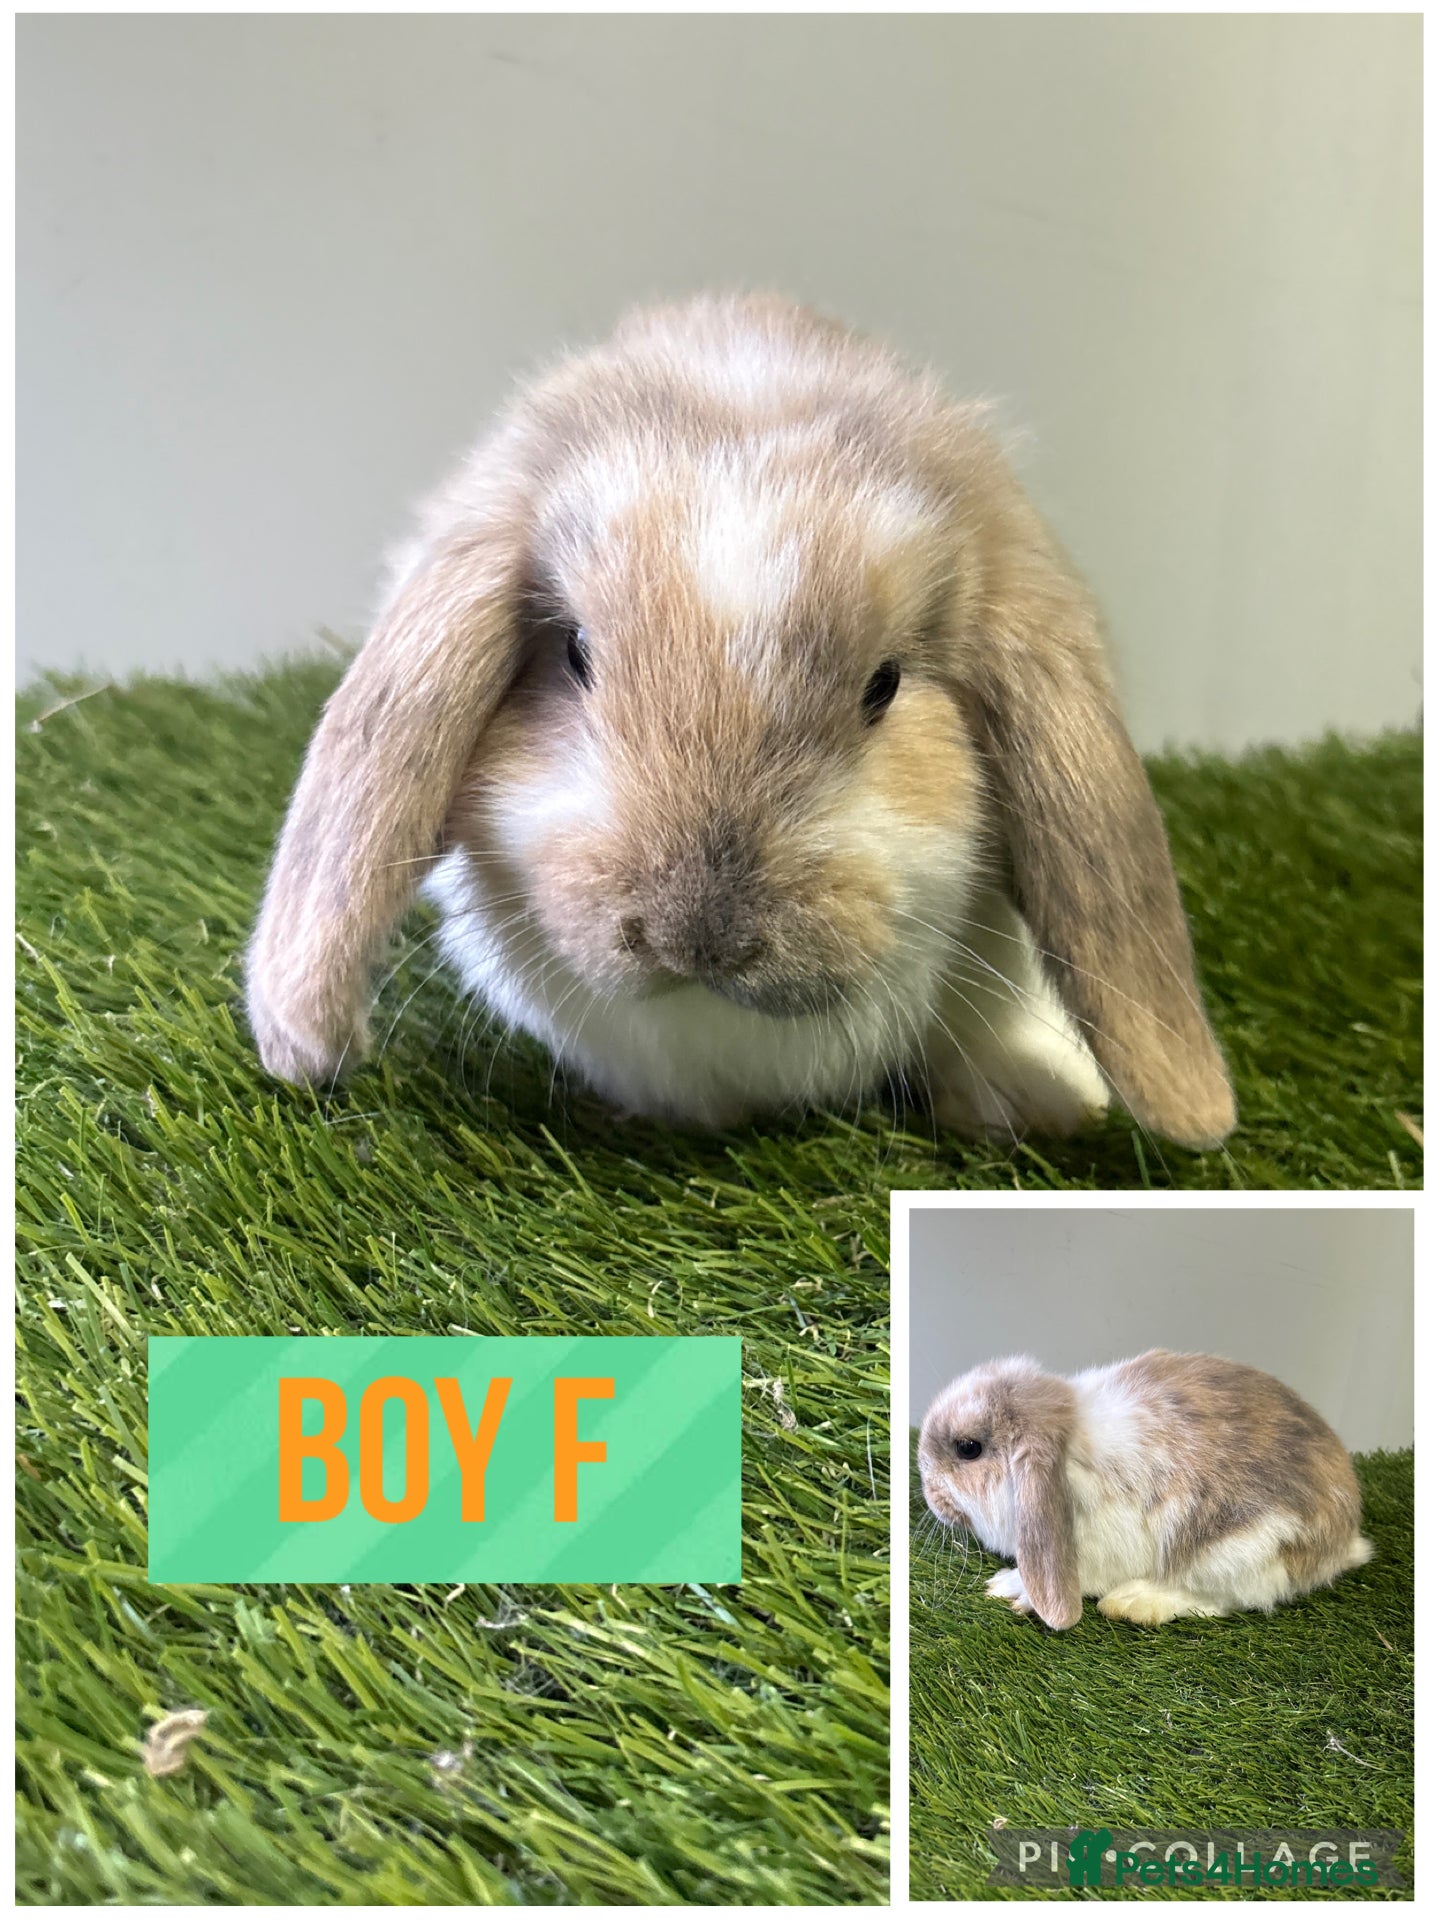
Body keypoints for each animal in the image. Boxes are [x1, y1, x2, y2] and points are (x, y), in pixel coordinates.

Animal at [918, 1349, 1373, 1628]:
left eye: (968, 1448)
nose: (929, 1495)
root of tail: (1344, 1541)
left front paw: (1009, 1587)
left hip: (1244, 1550)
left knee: (1231, 1598)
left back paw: (1135, 1602)